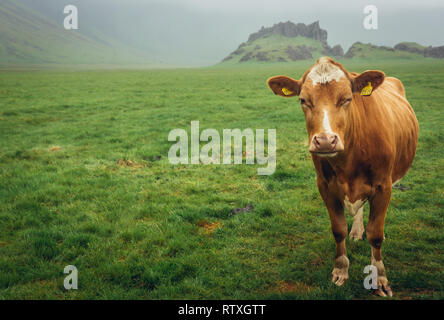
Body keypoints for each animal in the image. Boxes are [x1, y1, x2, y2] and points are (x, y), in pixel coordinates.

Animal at [268, 56, 420, 296]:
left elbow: (376, 234)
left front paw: (380, 278)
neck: (349, 160)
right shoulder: (325, 186)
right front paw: (340, 270)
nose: (325, 141)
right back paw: (357, 231)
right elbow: (338, 230)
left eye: (347, 98)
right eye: (303, 100)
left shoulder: (383, 186)